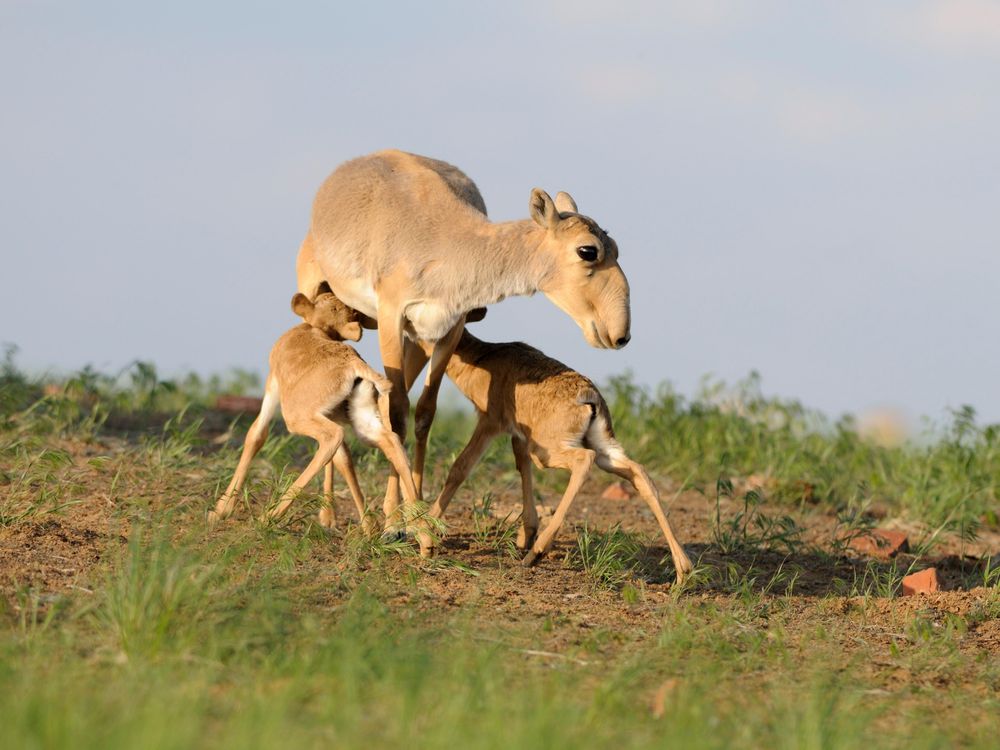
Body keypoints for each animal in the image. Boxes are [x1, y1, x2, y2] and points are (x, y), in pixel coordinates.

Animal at [209, 284, 428, 548]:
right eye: (335, 305)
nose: (355, 316)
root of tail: (353, 363)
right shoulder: (331, 414)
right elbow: (344, 460)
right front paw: (369, 527)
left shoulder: (273, 384)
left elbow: (256, 435)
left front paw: (220, 510)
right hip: (363, 420)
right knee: (390, 442)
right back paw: (424, 538)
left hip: (297, 417)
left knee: (332, 438)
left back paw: (268, 517)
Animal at [292, 148, 632, 524]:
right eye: (588, 250)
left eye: (616, 246)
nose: (621, 335)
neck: (446, 243)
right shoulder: (391, 317)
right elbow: (396, 414)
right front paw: (394, 520)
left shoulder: (446, 329)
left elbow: (424, 413)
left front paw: (414, 511)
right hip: (317, 295)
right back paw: (328, 514)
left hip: (414, 339)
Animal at [430, 330, 696, 588]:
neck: (484, 357)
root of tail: (590, 397)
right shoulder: (519, 436)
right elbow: (521, 464)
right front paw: (525, 536)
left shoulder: (490, 423)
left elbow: (460, 467)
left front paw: (426, 530)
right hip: (605, 450)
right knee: (638, 472)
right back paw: (683, 573)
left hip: (548, 452)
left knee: (584, 460)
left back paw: (537, 553)